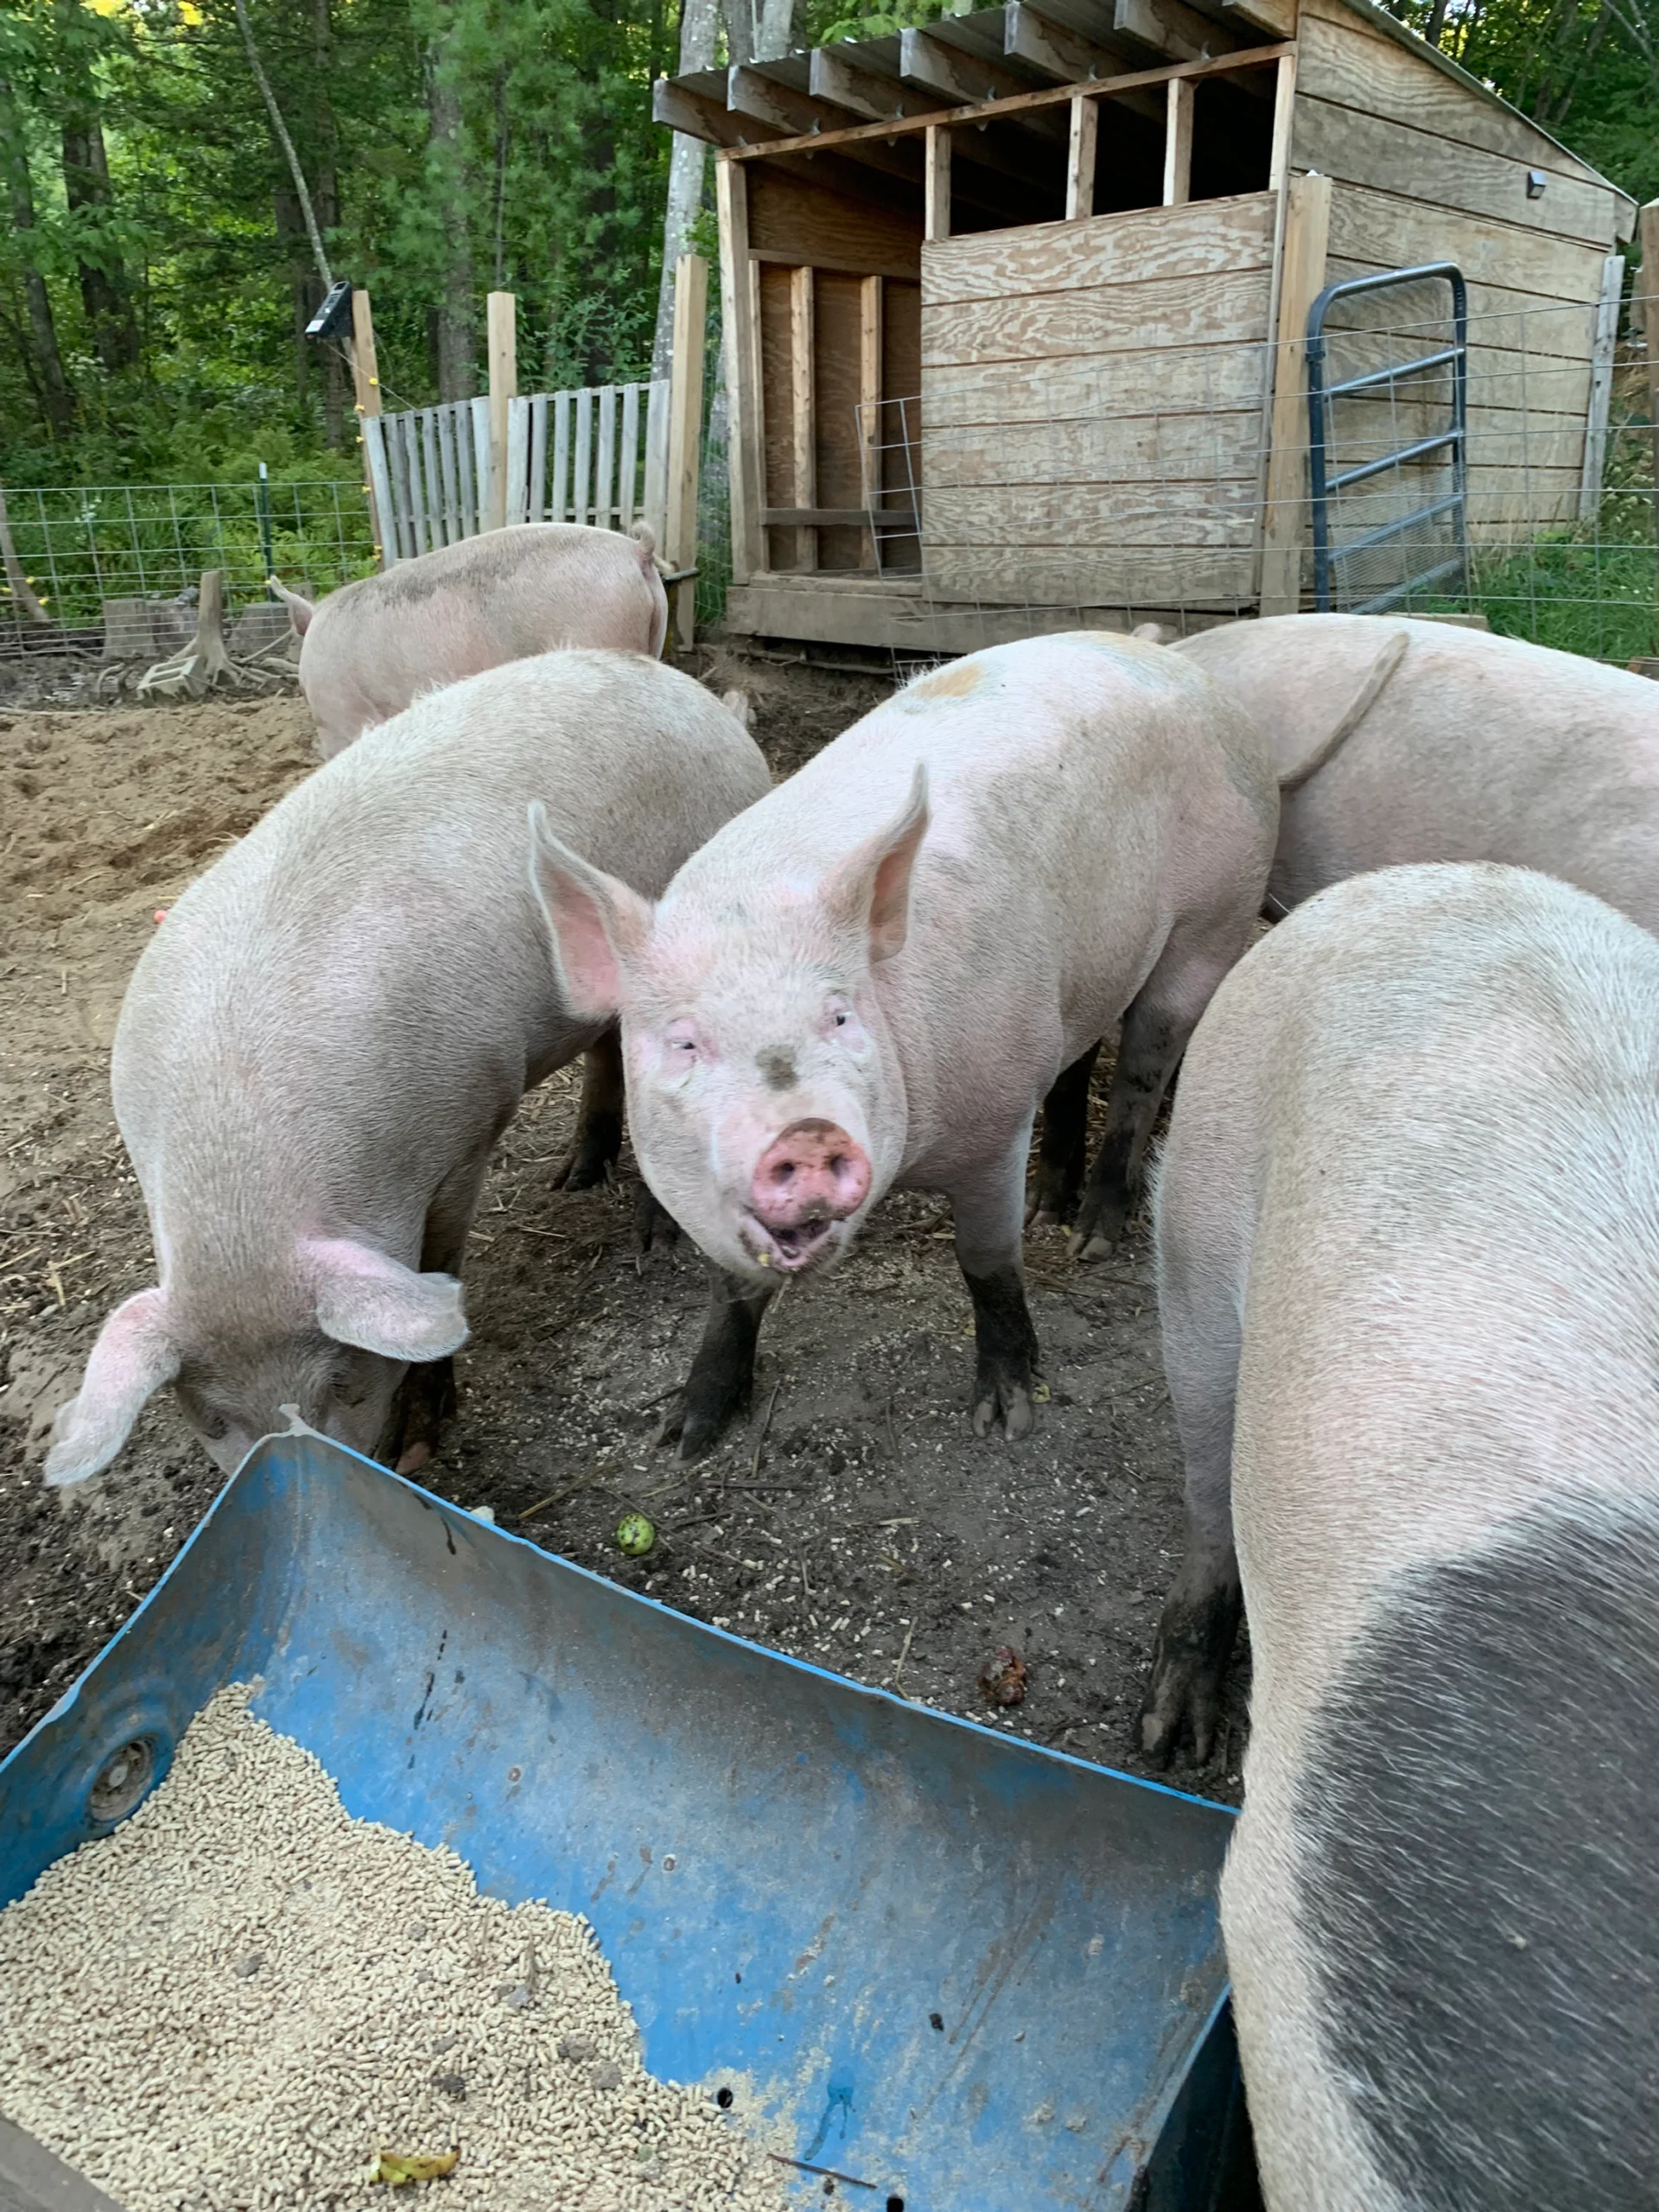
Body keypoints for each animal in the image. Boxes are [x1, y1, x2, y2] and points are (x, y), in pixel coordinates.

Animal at [43, 651, 767, 1487]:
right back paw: (572, 1180)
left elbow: (439, 1259)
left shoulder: (468, 1129)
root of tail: (696, 697)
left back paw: (655, 1244)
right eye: (213, 1418)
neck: (241, 1175)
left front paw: (419, 1444)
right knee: (606, 1054)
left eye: (343, 1381)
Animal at [528, 632, 1278, 1456]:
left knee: (1145, 1069)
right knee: (1076, 1060)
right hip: (1084, 970)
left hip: (1217, 912)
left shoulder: (995, 1121)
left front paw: (1006, 1417)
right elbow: (733, 1286)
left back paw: (1090, 1240)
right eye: (686, 1042)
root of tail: (1172, 659)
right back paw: (1049, 1207)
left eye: (840, 1015)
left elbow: (987, 1261)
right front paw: (684, 1435)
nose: (806, 1131)